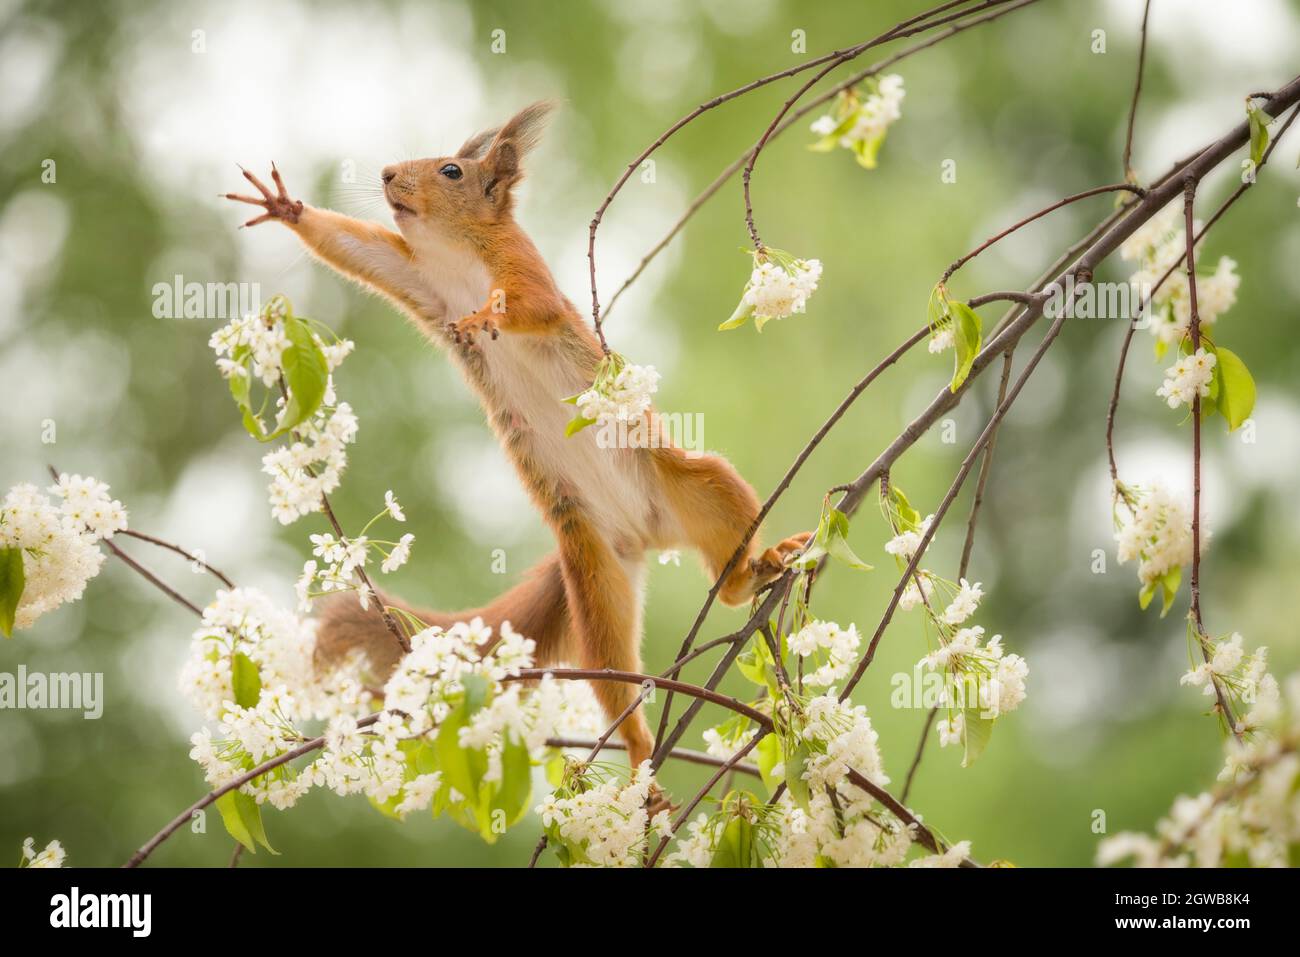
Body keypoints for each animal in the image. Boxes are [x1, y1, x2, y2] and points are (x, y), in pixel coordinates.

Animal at [228, 100, 806, 764]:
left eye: (452, 170)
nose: (387, 173)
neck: (456, 253)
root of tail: (649, 533)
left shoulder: (520, 263)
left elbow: (534, 306)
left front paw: (485, 316)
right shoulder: (413, 275)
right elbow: (351, 247)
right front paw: (285, 207)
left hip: (702, 487)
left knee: (726, 562)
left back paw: (757, 570)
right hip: (595, 575)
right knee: (612, 666)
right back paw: (639, 751)